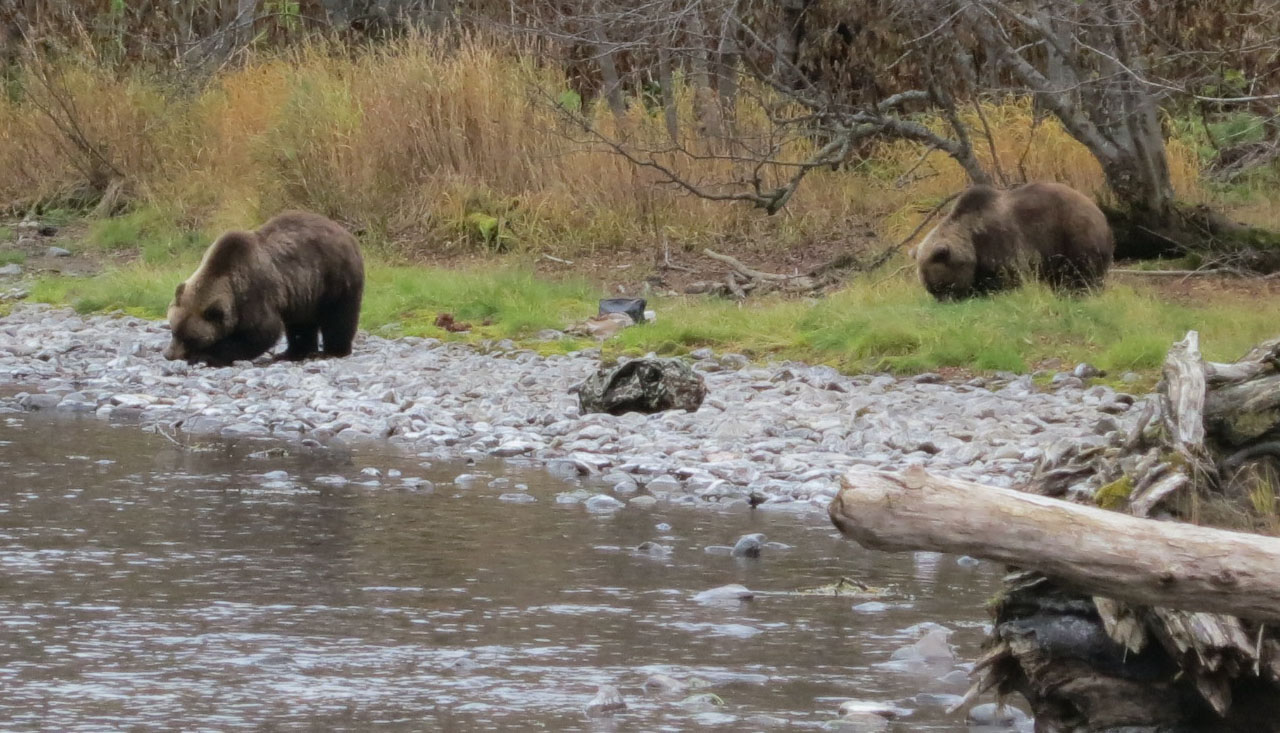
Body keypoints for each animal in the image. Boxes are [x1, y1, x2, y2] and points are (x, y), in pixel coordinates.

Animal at [163, 211, 366, 365]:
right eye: (173, 330)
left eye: (190, 339)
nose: (169, 355)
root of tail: (347, 234)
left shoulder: (254, 292)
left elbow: (261, 332)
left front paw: (206, 356)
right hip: (305, 291)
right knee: (301, 324)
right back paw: (292, 353)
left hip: (334, 277)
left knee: (338, 317)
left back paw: (333, 351)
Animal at [911, 182, 1111, 300]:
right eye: (931, 289)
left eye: (944, 285)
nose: (945, 301)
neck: (972, 241)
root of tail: (1099, 212)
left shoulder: (1001, 241)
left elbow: (1008, 275)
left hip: (1074, 235)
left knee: (1082, 272)